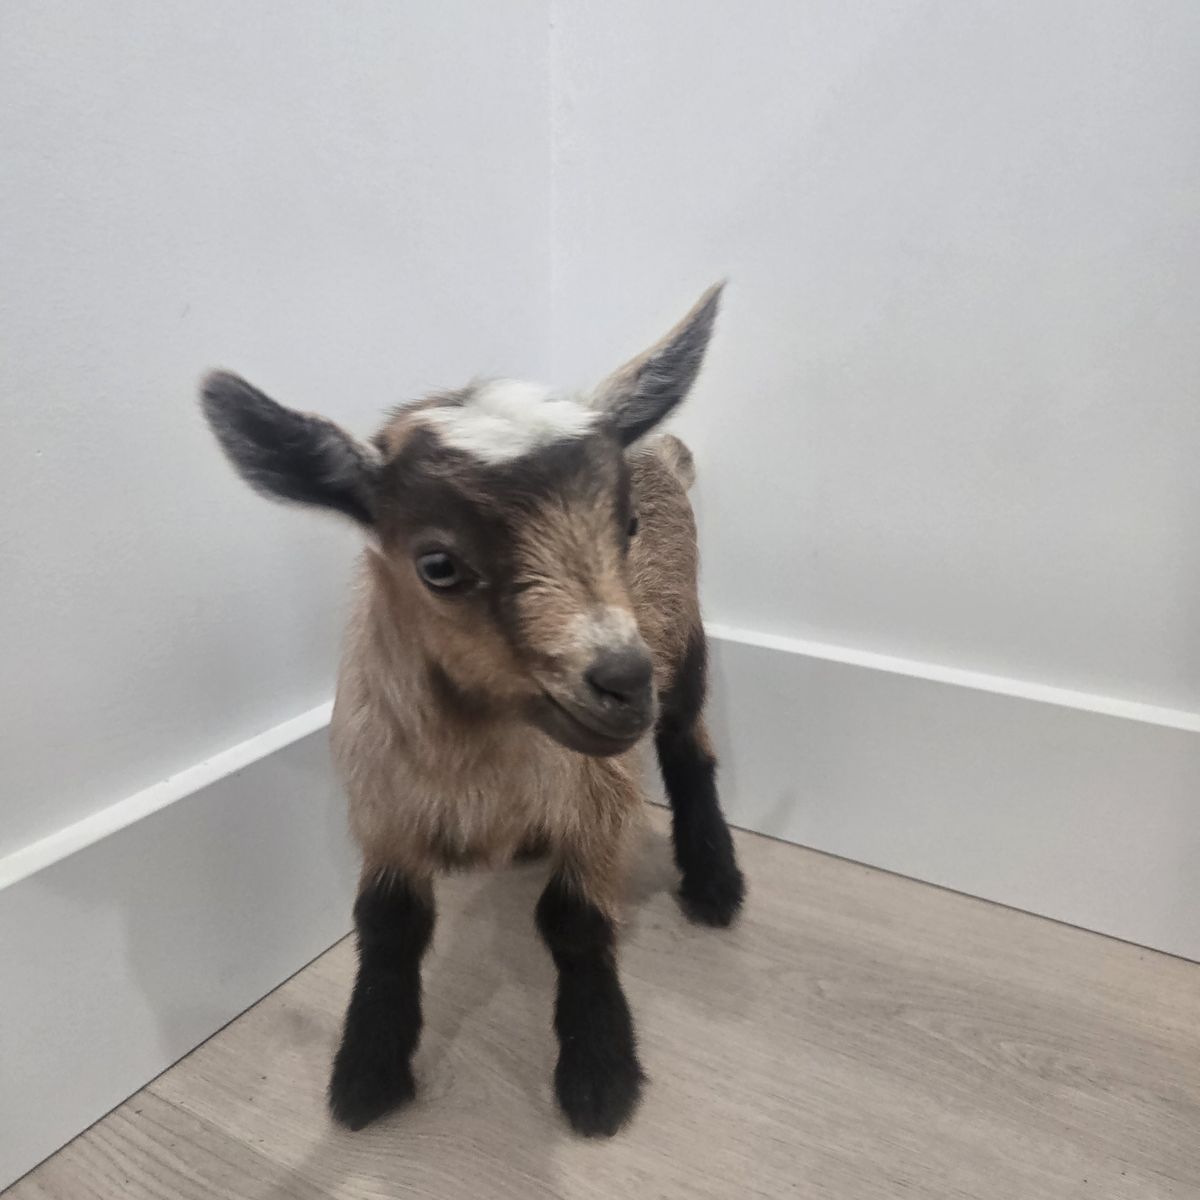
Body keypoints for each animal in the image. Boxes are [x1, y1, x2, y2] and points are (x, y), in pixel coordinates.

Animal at [199, 285, 745, 1138]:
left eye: (623, 526)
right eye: (437, 564)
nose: (624, 681)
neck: (477, 764)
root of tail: (662, 451)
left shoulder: (597, 794)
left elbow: (576, 920)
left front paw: (599, 1075)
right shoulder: (383, 804)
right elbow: (387, 924)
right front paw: (367, 1073)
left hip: (684, 641)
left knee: (691, 746)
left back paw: (715, 883)